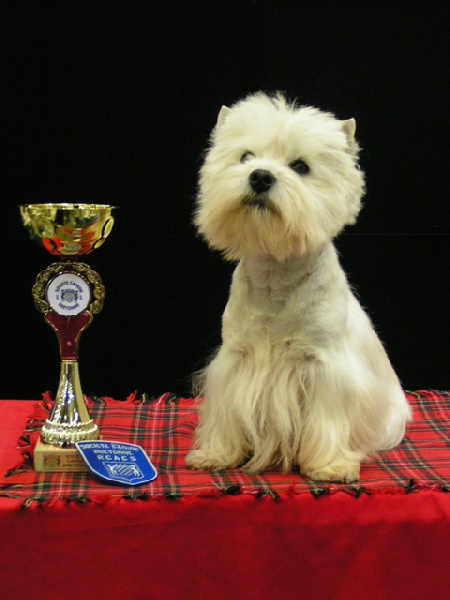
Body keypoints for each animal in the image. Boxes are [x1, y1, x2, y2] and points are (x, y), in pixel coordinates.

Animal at [186, 91, 412, 480]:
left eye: (301, 166)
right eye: (245, 157)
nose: (260, 176)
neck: (274, 276)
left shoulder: (322, 365)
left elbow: (326, 419)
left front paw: (330, 465)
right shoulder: (235, 356)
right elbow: (225, 413)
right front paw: (216, 454)